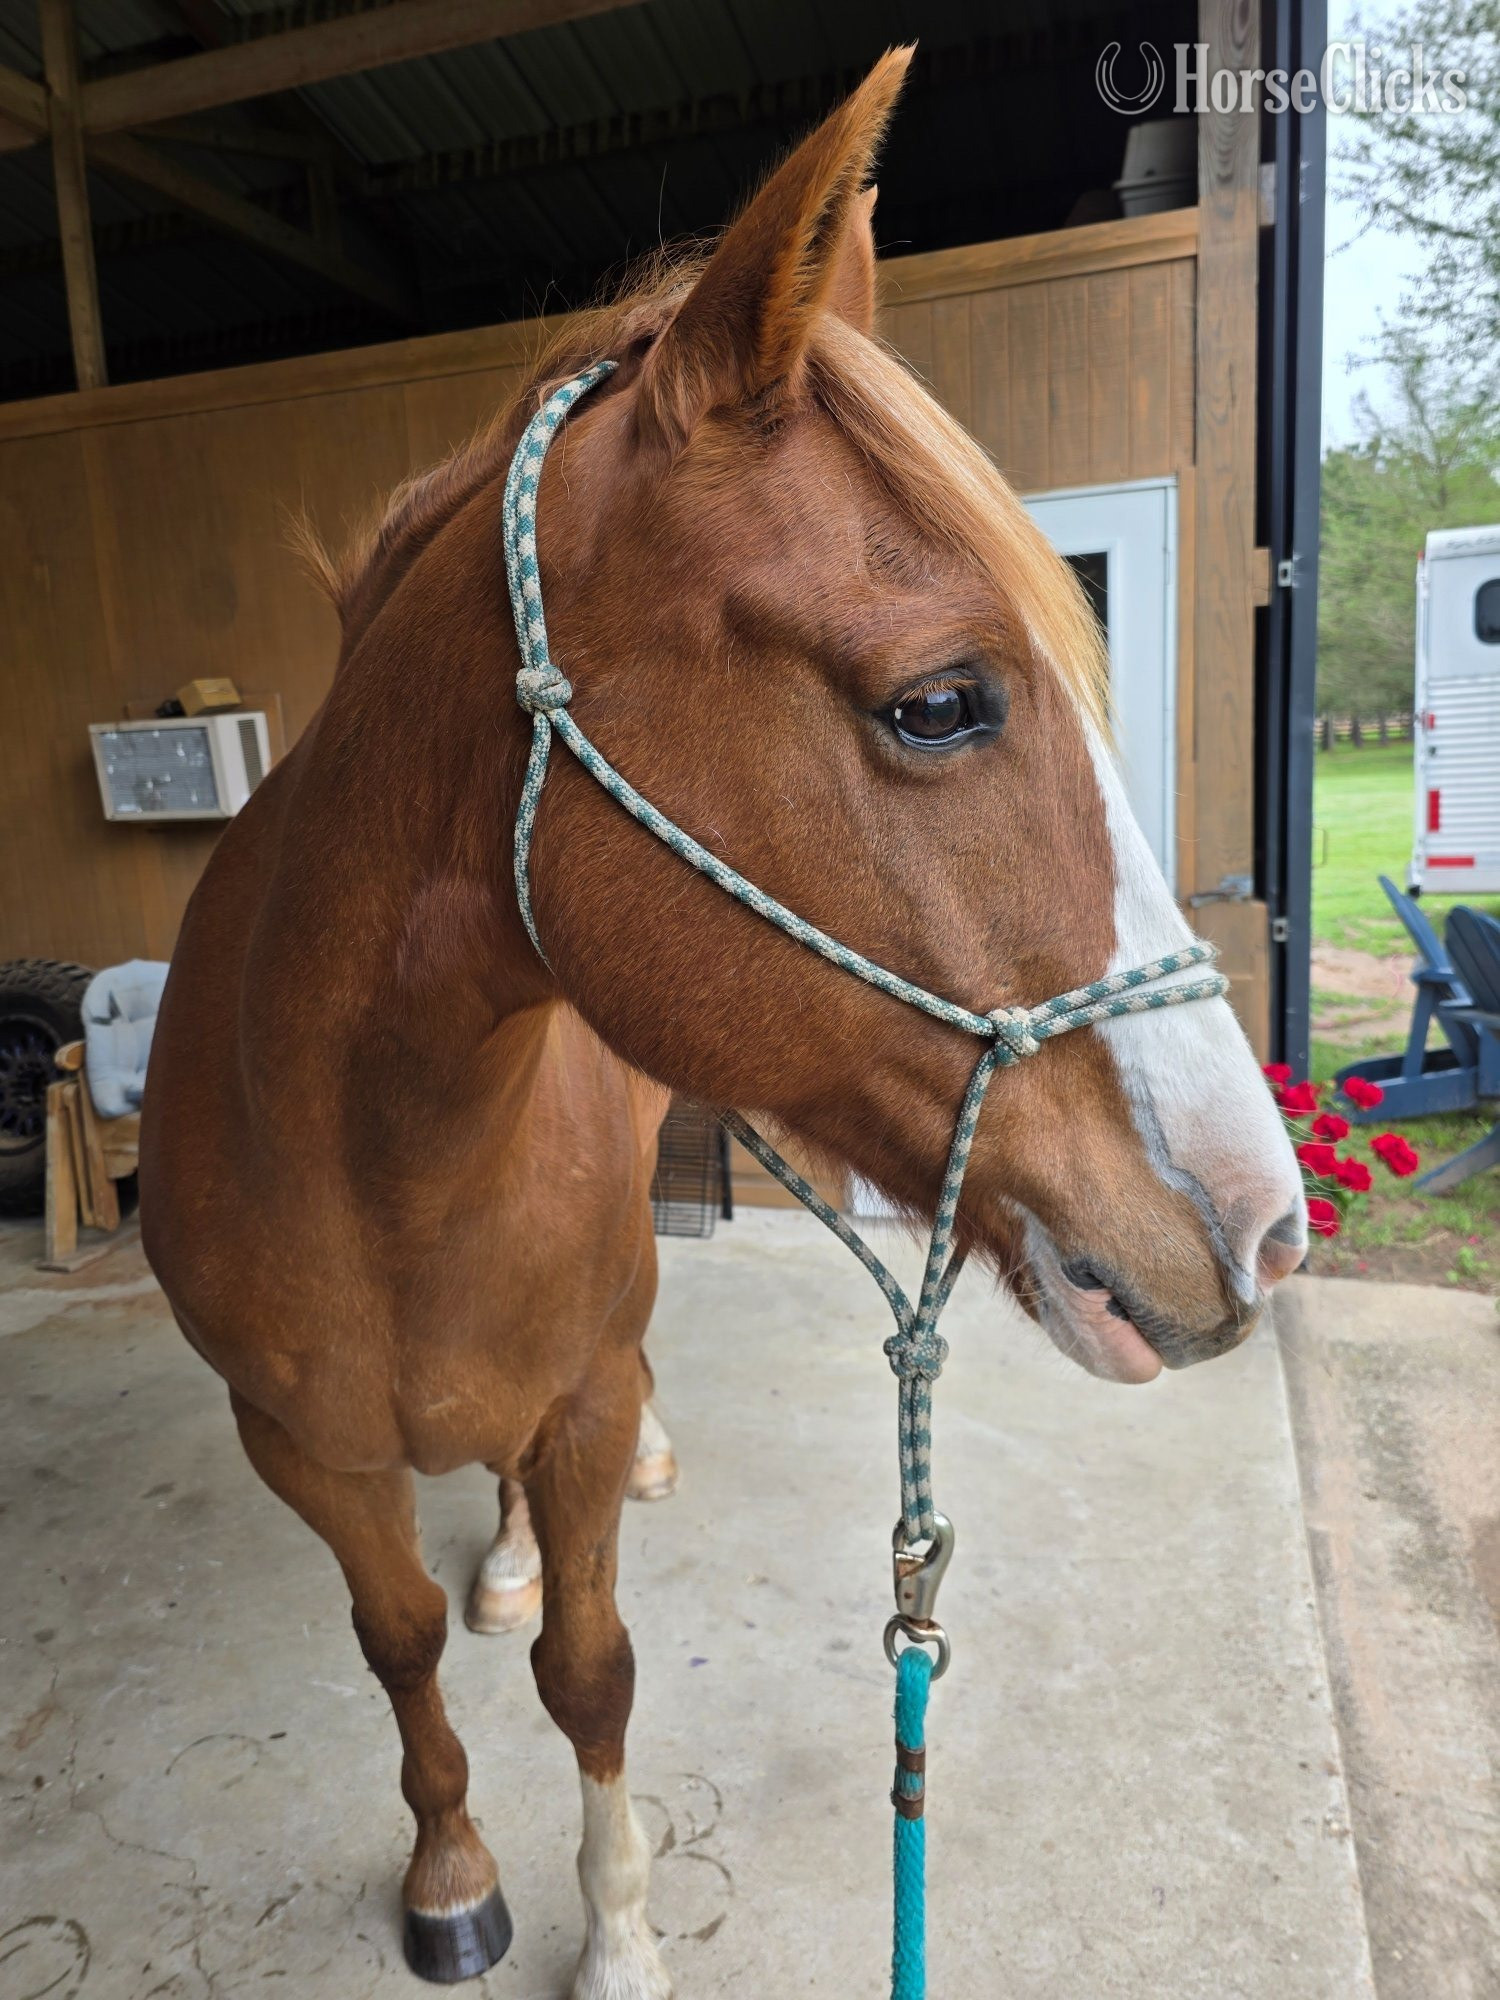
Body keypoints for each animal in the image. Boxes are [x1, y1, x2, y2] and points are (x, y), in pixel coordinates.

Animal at [140, 47, 1305, 1999]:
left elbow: (591, 1671)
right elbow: (401, 1649)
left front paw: (616, 1928)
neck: (382, 1152)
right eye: (942, 701)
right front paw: (453, 1871)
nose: (1270, 1223)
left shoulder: (582, 1395)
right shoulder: (296, 1442)